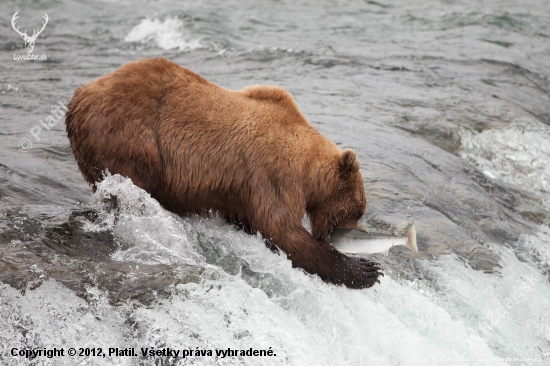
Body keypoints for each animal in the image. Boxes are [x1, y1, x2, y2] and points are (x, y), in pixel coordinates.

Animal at [66, 57, 384, 288]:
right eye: (356, 211)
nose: (348, 234)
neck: (308, 170)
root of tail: (78, 97)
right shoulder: (275, 174)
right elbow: (282, 229)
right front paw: (366, 270)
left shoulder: (243, 188)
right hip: (130, 134)